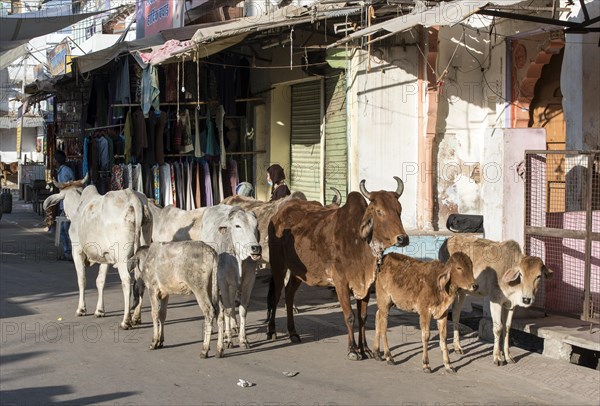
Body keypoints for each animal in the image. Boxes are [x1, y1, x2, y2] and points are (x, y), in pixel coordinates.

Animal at [43, 175, 146, 330]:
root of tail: (133, 199)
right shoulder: (105, 256)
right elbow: (100, 281)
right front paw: (99, 310)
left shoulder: (77, 251)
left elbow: (82, 280)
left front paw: (81, 309)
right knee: (140, 281)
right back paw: (136, 317)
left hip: (122, 257)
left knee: (127, 281)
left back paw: (126, 321)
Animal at [144, 205, 262, 354]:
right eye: (237, 225)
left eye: (256, 226)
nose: (256, 248)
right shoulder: (224, 282)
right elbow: (228, 309)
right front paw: (228, 340)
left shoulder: (249, 281)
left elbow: (242, 309)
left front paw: (243, 340)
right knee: (222, 309)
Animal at [270, 176, 410, 360]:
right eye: (379, 211)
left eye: (399, 210)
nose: (403, 238)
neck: (360, 243)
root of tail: (278, 214)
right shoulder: (340, 283)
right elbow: (349, 316)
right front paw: (352, 350)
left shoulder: (365, 285)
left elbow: (363, 317)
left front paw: (365, 349)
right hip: (278, 265)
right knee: (275, 294)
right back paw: (271, 331)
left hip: (297, 272)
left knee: (289, 293)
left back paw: (293, 333)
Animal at [440, 235, 552, 364]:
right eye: (521, 274)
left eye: (538, 276)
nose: (526, 299)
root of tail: (447, 240)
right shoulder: (495, 301)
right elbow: (498, 328)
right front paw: (497, 357)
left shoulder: (510, 305)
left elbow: (507, 328)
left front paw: (508, 356)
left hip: (462, 292)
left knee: (456, 313)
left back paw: (457, 347)